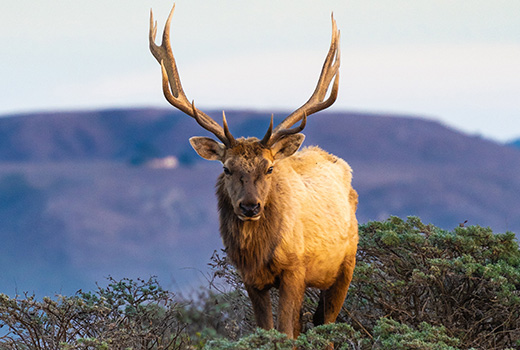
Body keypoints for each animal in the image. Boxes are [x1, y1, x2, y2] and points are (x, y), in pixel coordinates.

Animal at [149, 3, 358, 340]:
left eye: (269, 167)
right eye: (226, 167)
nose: (250, 206)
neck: (261, 252)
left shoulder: (295, 269)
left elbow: (285, 332)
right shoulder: (250, 278)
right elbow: (266, 329)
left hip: (345, 265)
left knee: (326, 324)